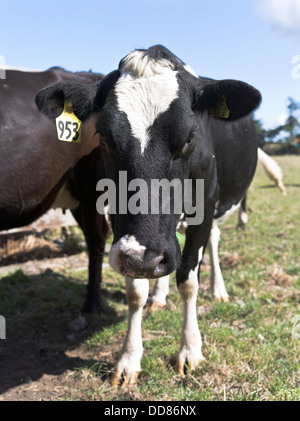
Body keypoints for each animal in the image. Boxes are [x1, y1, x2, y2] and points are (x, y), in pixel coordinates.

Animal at [34, 46, 260, 384]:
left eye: (190, 136)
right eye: (103, 135)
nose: (145, 259)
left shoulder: (206, 204)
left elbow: (188, 280)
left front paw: (190, 350)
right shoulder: (120, 224)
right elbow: (135, 291)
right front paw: (128, 359)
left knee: (214, 239)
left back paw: (217, 289)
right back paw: (159, 297)